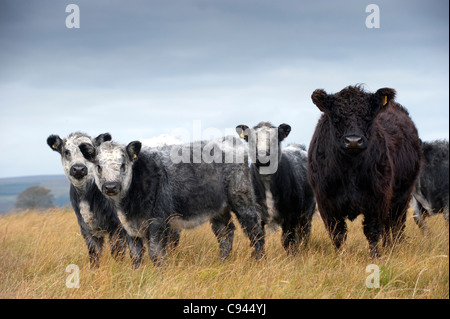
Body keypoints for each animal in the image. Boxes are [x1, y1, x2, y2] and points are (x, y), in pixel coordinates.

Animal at [46, 132, 127, 268]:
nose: (78, 168)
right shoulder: (86, 228)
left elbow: (117, 252)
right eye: (66, 151)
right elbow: (94, 253)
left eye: (89, 151)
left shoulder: (117, 226)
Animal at [79, 136, 266, 268]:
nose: (111, 186)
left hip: (242, 198)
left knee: (255, 229)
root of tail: (229, 139)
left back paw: (259, 260)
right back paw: (223, 262)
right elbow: (135, 255)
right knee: (225, 233)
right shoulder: (129, 227)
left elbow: (156, 253)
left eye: (123, 164)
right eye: (98, 166)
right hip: (218, 208)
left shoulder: (158, 222)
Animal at [236, 123, 316, 255]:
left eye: (275, 139)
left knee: (304, 233)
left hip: (307, 211)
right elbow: (258, 241)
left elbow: (288, 241)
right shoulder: (254, 215)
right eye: (251, 139)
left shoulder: (290, 215)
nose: (262, 155)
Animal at [306, 85, 422, 260]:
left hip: (403, 195)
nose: (353, 141)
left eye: (367, 116)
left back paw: (394, 247)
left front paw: (375, 257)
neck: (350, 170)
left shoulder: (378, 198)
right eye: (337, 117)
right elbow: (338, 234)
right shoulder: (326, 201)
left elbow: (372, 231)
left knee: (396, 224)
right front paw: (341, 258)